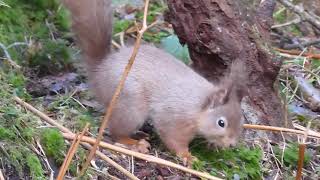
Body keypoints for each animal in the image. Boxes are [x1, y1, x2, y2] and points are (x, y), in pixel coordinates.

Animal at [62, 0, 248, 165]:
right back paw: (134, 143)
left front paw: (213, 146)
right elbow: (173, 137)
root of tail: (100, 71)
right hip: (131, 107)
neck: (198, 106)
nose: (232, 144)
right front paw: (187, 156)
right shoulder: (175, 118)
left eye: (241, 121)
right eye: (221, 123)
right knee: (116, 131)